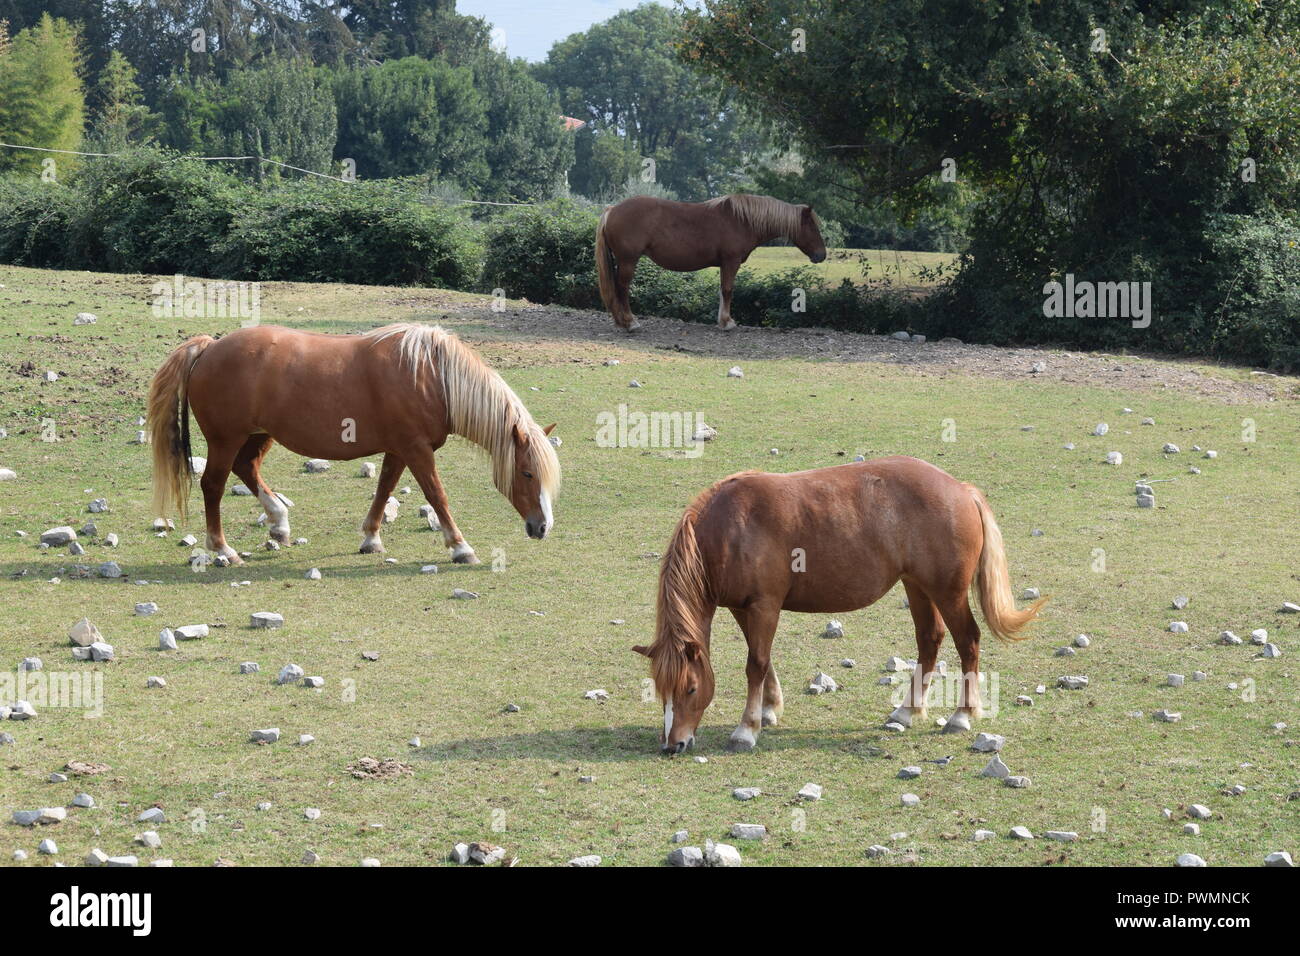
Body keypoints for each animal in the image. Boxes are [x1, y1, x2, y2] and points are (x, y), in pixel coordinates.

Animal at [147, 321, 559, 564]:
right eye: (526, 473)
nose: (542, 528)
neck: (432, 376)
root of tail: (209, 347)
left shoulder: (399, 449)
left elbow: (384, 488)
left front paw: (371, 539)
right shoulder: (416, 450)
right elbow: (437, 496)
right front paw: (460, 547)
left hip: (257, 436)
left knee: (246, 469)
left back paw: (279, 523)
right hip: (226, 439)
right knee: (213, 485)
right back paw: (223, 548)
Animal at [595, 191, 826, 332]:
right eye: (813, 227)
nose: (821, 255)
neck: (742, 220)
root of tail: (612, 210)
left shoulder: (725, 264)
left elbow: (722, 291)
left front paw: (722, 321)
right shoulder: (731, 262)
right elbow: (728, 290)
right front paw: (727, 322)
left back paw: (621, 322)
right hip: (628, 260)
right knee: (622, 288)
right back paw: (630, 322)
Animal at [631, 455, 1045, 754]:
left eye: (690, 689)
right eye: (660, 689)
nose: (673, 745)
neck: (731, 528)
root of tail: (960, 489)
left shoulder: (764, 605)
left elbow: (756, 664)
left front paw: (747, 729)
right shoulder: (742, 607)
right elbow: (762, 659)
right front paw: (769, 709)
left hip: (948, 592)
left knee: (967, 641)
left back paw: (961, 716)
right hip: (916, 587)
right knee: (930, 640)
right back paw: (907, 709)